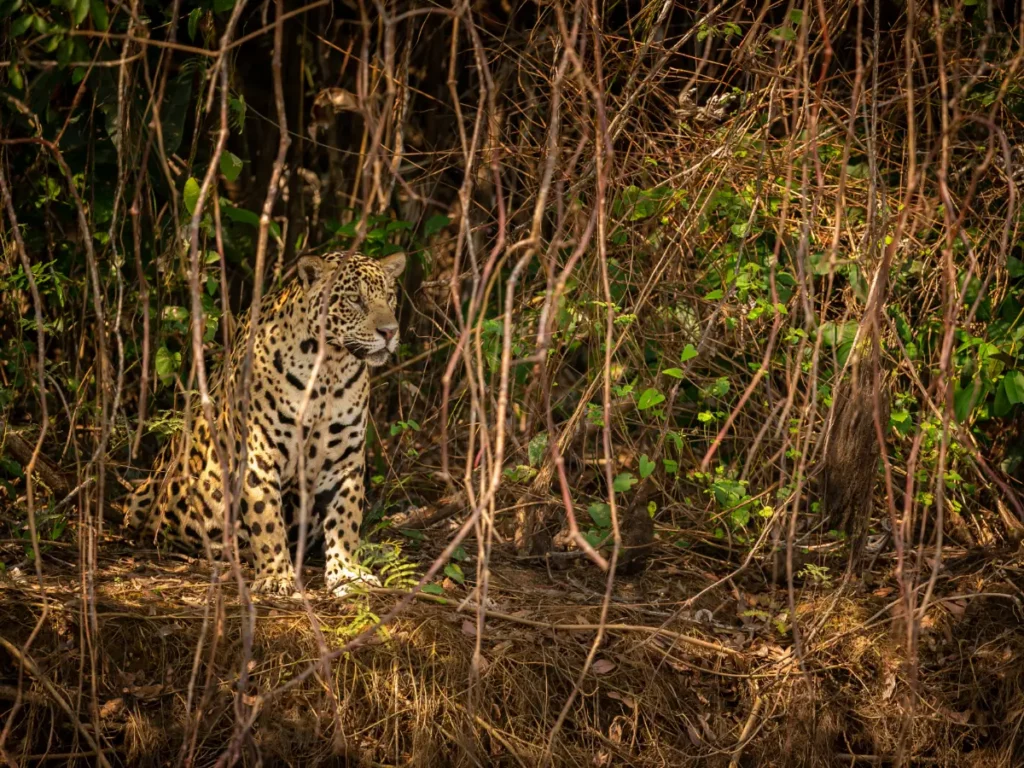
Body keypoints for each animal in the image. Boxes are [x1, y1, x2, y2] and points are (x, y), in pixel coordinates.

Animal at [123, 251, 405, 596]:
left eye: (389, 297)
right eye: (355, 299)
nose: (389, 332)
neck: (329, 370)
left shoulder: (344, 460)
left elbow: (346, 518)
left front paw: (348, 572)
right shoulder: (259, 453)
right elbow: (267, 518)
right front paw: (276, 576)